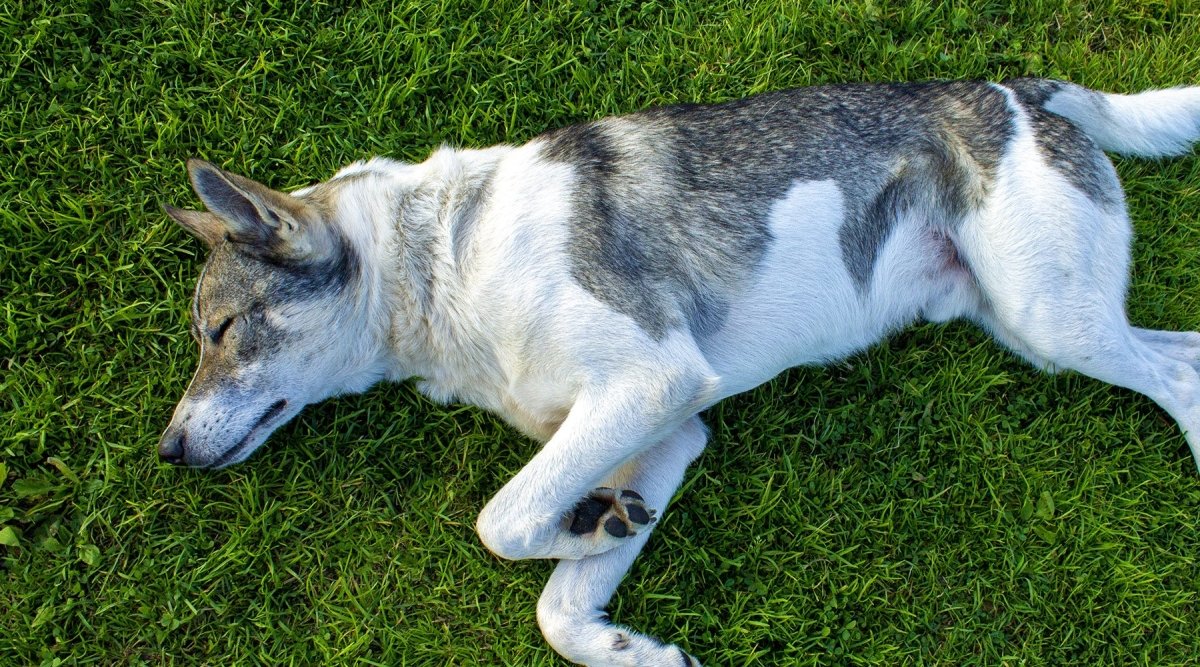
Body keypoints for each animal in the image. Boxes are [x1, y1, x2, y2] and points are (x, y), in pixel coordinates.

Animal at [164, 79, 1200, 667]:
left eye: (220, 329)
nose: (169, 449)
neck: (444, 255)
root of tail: (1011, 88)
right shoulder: (666, 432)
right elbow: (554, 603)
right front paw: (620, 625)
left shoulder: (650, 381)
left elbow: (503, 521)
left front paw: (578, 527)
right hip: (1027, 324)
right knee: (1183, 355)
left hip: (1054, 317)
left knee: (1180, 375)